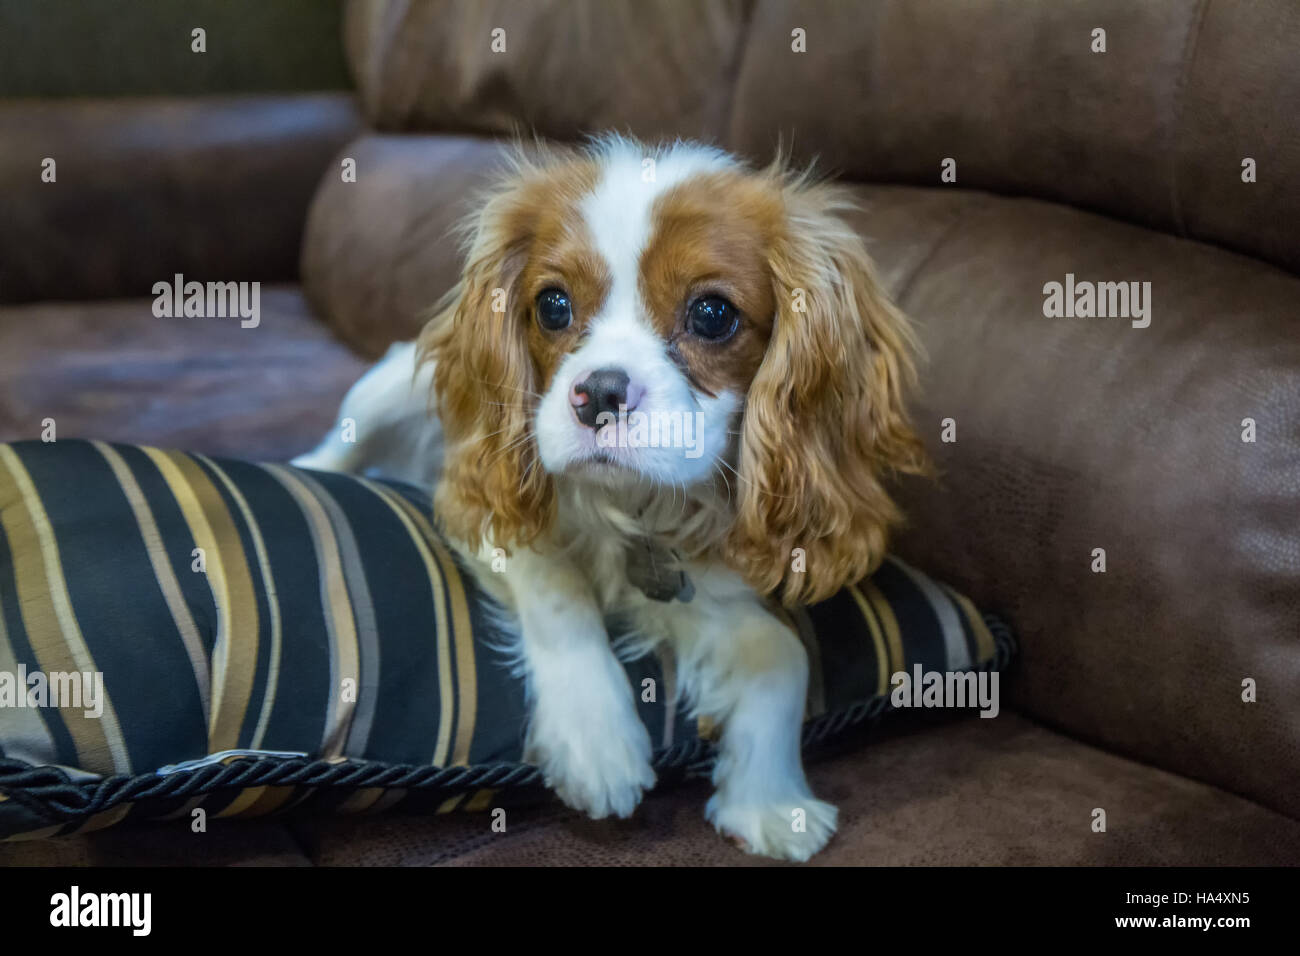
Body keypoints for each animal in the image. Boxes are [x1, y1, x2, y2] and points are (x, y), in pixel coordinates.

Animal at [297, 134, 925, 858]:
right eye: (552, 306)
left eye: (713, 314)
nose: (597, 392)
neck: (631, 502)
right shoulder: (477, 507)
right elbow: (558, 584)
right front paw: (596, 739)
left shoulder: (688, 586)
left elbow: (783, 655)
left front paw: (770, 798)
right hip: (388, 386)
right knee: (336, 448)